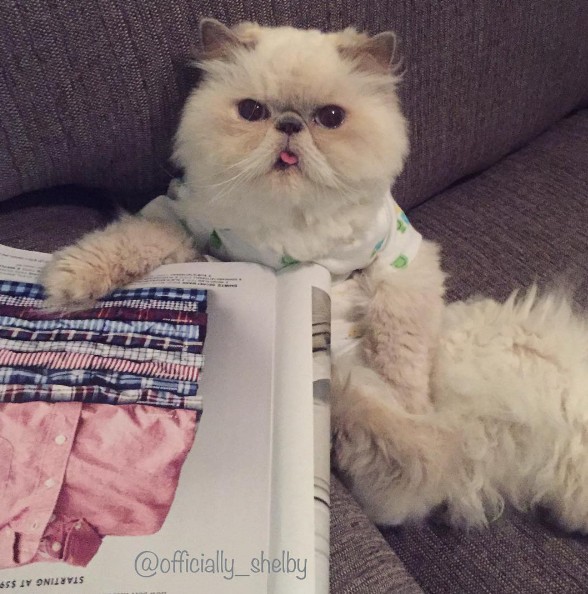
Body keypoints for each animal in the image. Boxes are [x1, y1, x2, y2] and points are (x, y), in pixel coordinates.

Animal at [41, 19, 588, 535]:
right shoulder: (184, 226)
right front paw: (66, 284)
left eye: (330, 119)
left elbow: (401, 351)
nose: (288, 125)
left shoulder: (400, 259)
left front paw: (413, 399)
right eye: (251, 112)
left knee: (408, 453)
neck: (291, 221)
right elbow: (126, 241)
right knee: (397, 459)